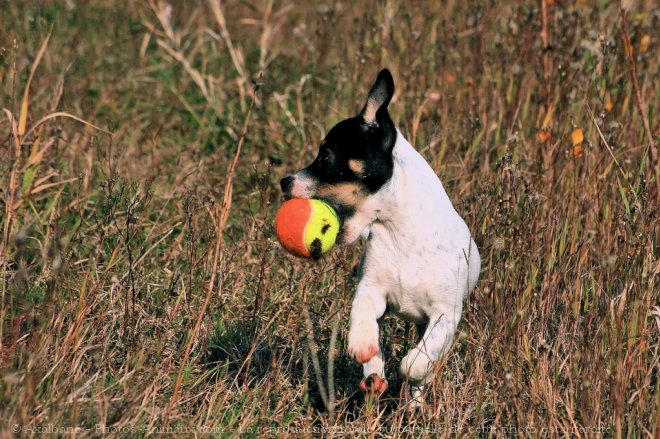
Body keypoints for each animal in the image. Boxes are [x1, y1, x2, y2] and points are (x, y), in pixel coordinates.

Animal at [280, 69, 480, 410]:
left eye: (325, 156)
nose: (284, 181)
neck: (400, 232)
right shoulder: (371, 291)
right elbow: (363, 319)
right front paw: (364, 347)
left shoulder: (445, 315)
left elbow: (416, 363)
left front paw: (413, 373)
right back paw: (374, 374)